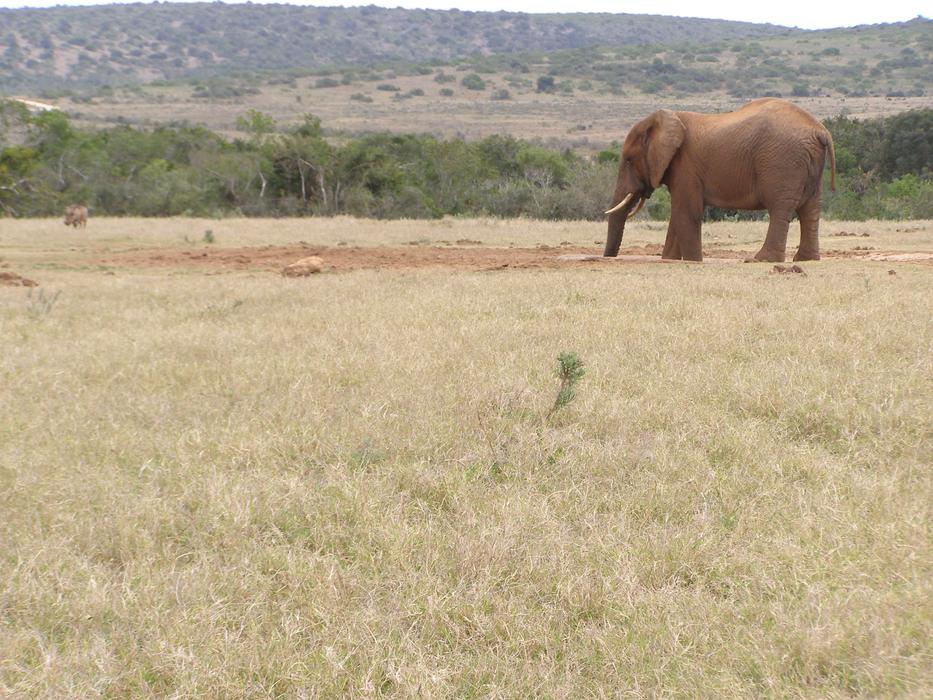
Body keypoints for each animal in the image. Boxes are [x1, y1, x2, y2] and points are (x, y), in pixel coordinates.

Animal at [603, 98, 836, 262]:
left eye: (628, 160)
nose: (609, 257)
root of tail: (820, 130)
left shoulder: (686, 166)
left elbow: (686, 212)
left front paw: (693, 261)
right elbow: (678, 215)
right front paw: (668, 259)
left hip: (782, 161)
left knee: (780, 208)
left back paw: (760, 260)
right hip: (808, 166)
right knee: (810, 210)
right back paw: (806, 259)